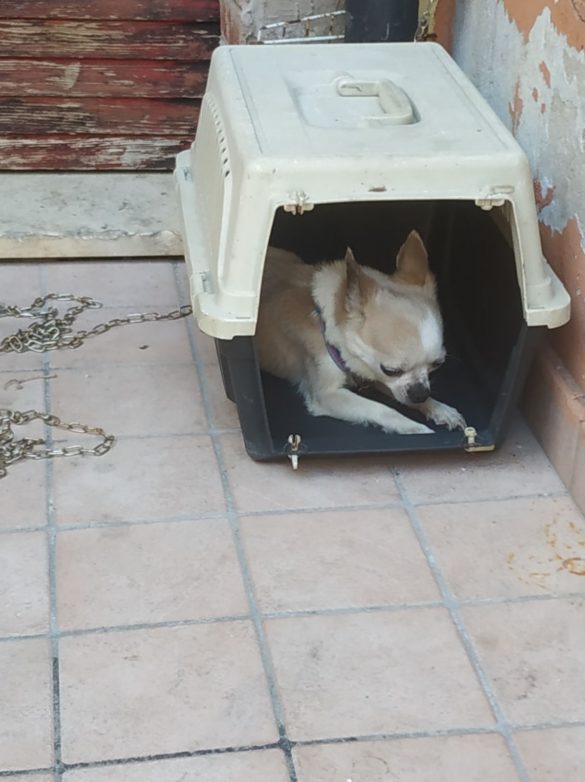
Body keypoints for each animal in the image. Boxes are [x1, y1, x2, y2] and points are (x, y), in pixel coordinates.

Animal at [256, 230, 466, 438]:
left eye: (437, 364)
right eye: (391, 370)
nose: (420, 393)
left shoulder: (380, 378)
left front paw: (439, 409)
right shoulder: (327, 395)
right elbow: (381, 409)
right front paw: (413, 427)